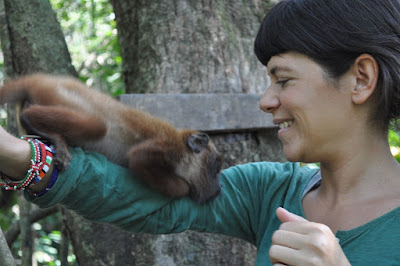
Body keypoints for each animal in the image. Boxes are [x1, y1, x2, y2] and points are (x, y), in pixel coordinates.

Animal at [0, 74, 222, 203]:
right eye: (215, 169)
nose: (219, 188)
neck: (184, 149)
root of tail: (42, 80)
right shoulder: (170, 146)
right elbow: (139, 157)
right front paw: (184, 189)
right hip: (58, 94)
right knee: (98, 125)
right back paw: (36, 123)